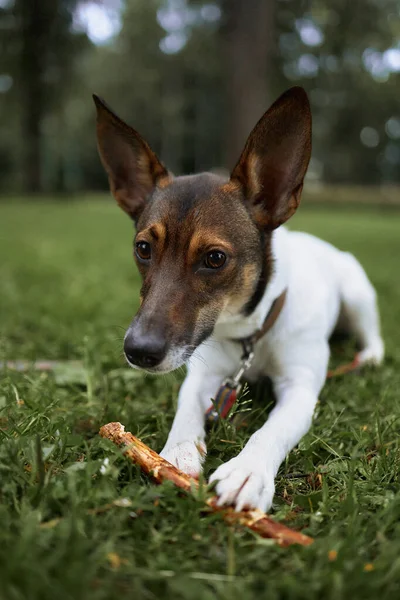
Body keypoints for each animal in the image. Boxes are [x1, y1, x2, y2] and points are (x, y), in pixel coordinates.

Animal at [94, 88, 384, 510]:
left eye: (215, 258)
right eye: (143, 249)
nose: (139, 351)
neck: (250, 331)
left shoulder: (301, 389)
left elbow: (271, 429)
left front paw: (248, 472)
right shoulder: (202, 376)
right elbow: (185, 413)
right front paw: (177, 453)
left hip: (357, 292)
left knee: (373, 334)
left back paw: (369, 357)